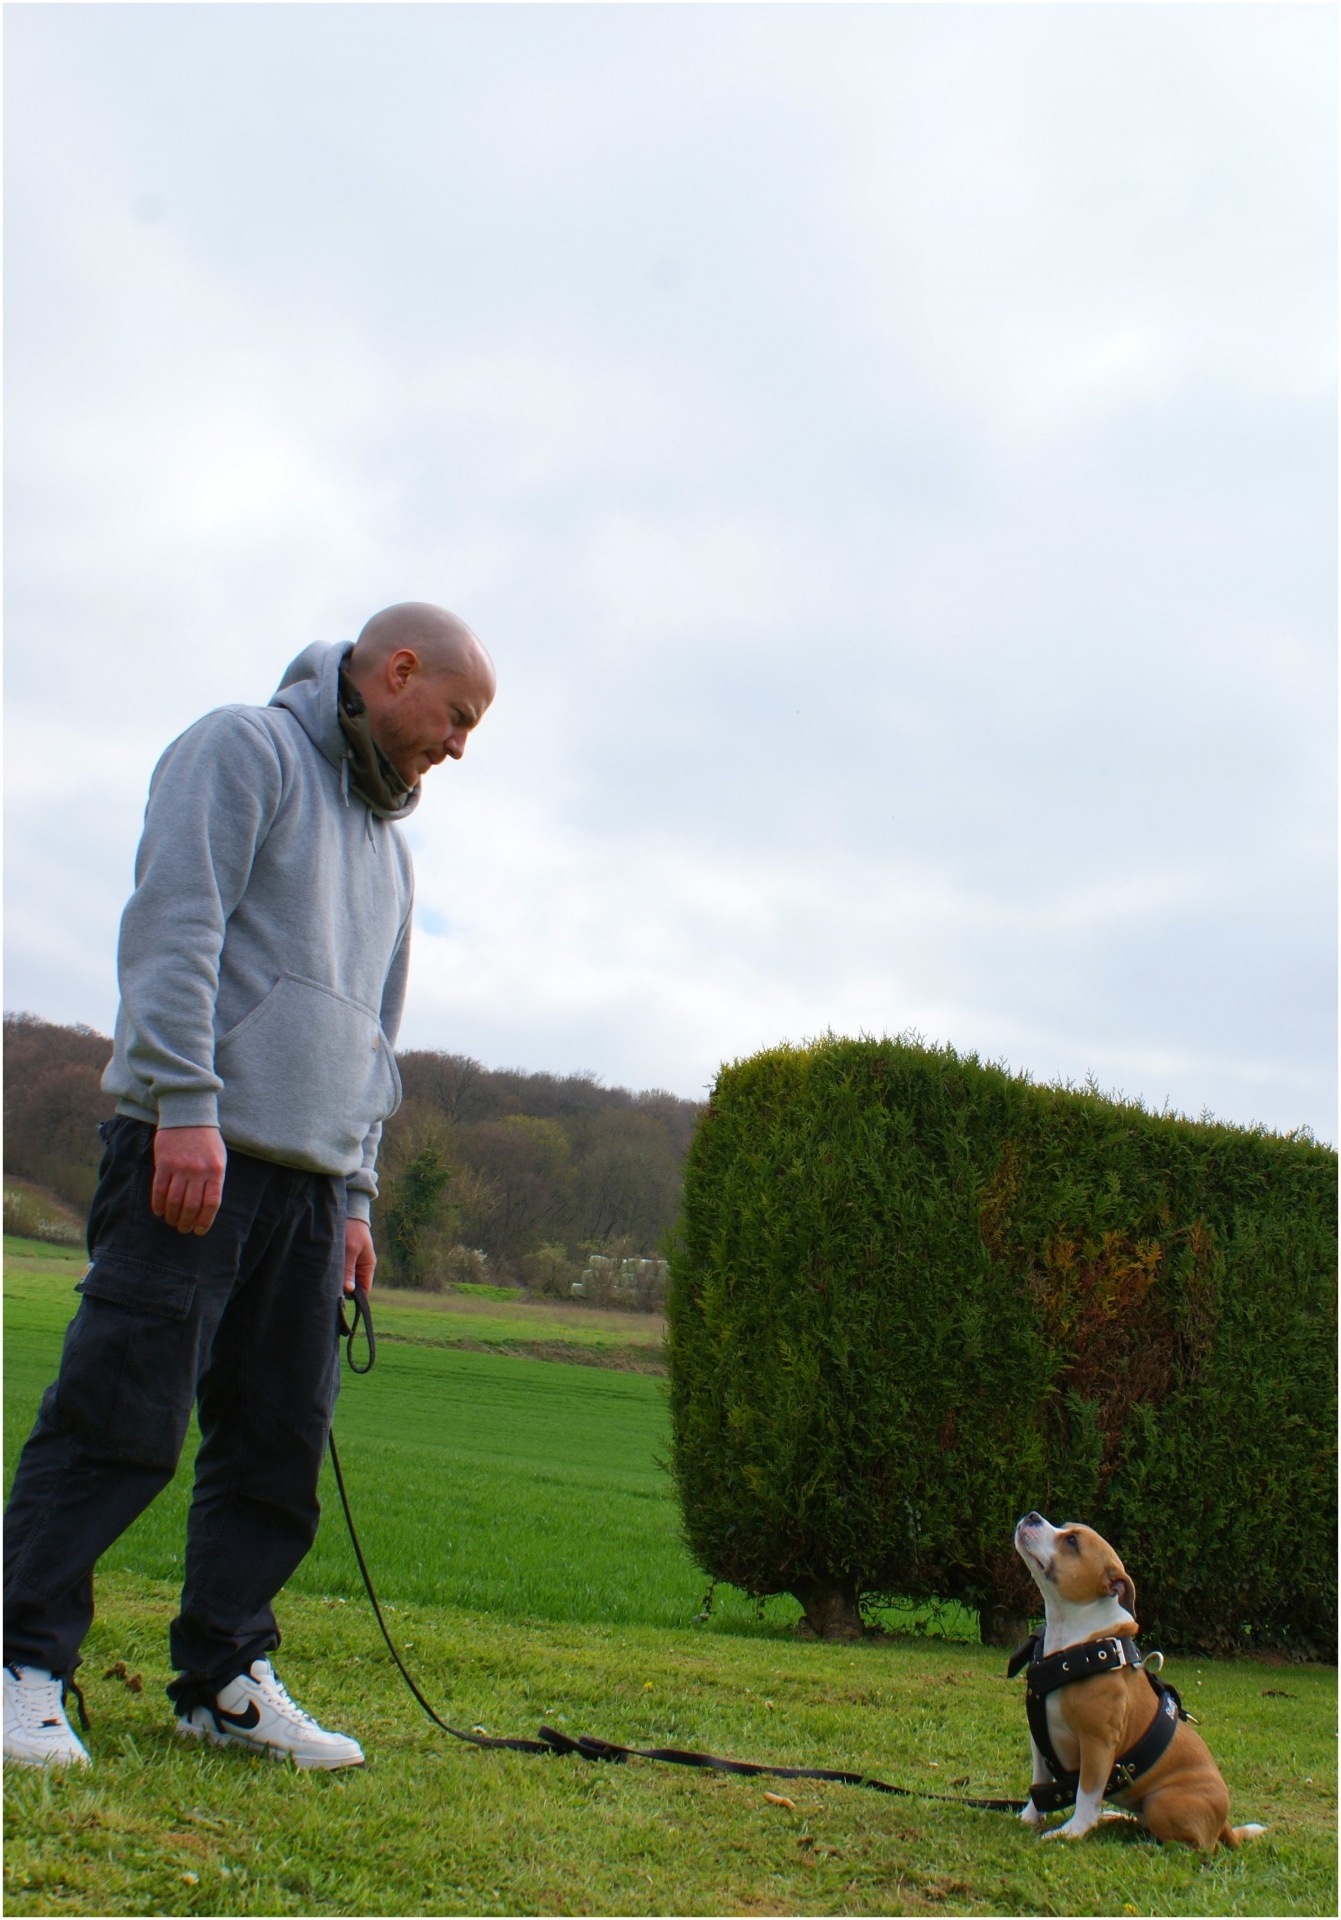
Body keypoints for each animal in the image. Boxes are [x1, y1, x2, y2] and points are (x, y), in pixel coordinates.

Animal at [1006, 1512, 1260, 1843]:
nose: (1033, 1516)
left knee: (1200, 1845)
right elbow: (1040, 1783)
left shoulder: (1098, 1743)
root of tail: (1224, 1823)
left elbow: (1087, 1792)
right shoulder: (1040, 1739)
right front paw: (1030, 1817)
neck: (1076, 1643)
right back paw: (1114, 1816)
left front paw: (1074, 1830)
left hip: (1163, 1804)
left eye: (1072, 1541)